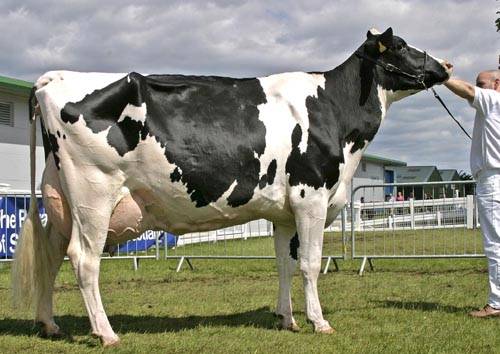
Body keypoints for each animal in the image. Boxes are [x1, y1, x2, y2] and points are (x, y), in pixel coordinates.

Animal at [12, 28, 454, 346]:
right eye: (400, 45)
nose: (447, 64)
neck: (332, 109)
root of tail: (52, 78)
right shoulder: (311, 198)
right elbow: (310, 264)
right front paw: (318, 321)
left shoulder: (284, 213)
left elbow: (285, 263)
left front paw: (287, 319)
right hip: (94, 195)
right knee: (83, 260)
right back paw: (106, 333)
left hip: (62, 200)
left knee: (51, 255)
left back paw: (49, 324)